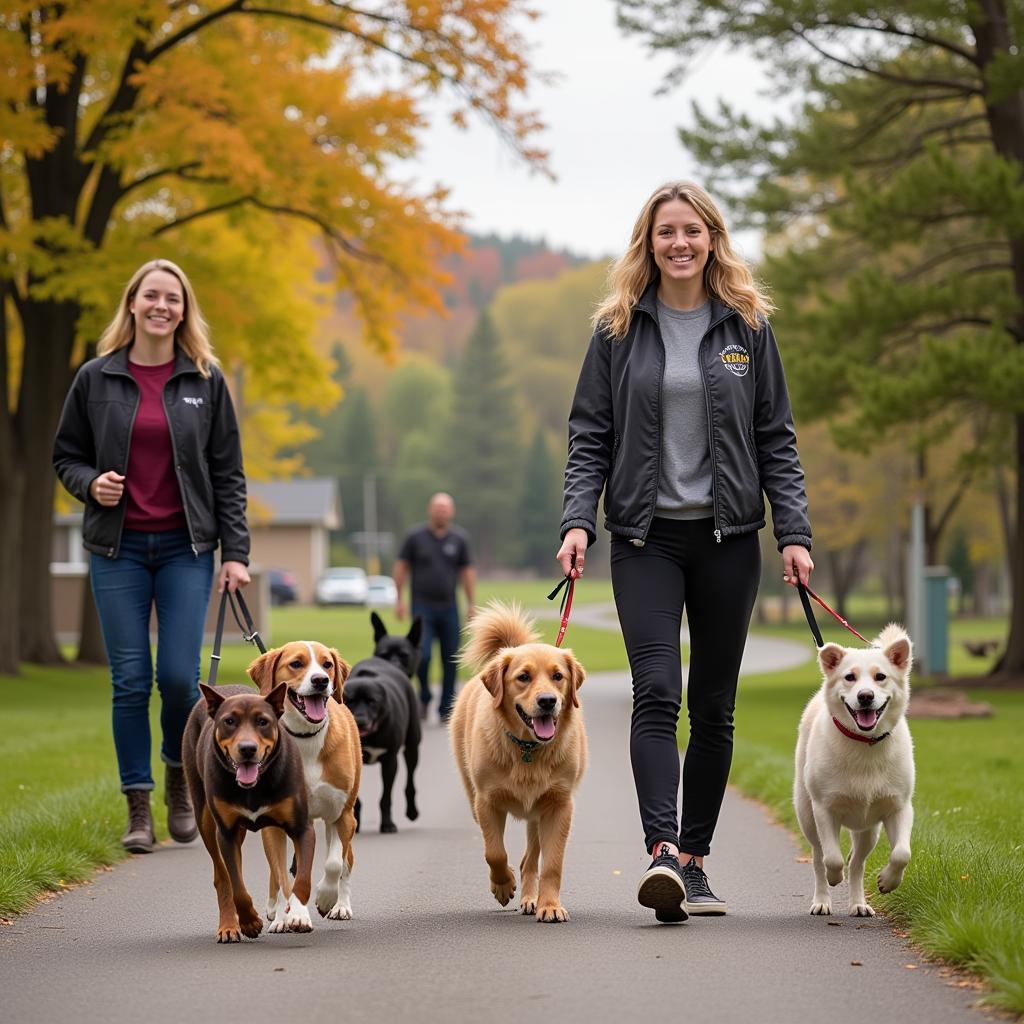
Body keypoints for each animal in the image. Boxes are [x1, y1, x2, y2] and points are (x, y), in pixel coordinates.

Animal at [182, 684, 313, 937]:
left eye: (263, 721)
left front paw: (299, 915)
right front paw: (250, 921)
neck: (254, 786)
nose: (247, 748)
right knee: (222, 875)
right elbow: (237, 886)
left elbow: (302, 878)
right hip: (204, 817)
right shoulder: (226, 833)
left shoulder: (302, 827)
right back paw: (228, 925)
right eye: (229, 721)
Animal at [246, 643, 360, 925]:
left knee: (346, 861)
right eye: (296, 664)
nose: (321, 680)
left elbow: (334, 864)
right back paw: (275, 911)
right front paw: (287, 917)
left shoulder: (341, 813)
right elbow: (281, 874)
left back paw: (341, 905)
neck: (306, 739)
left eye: (327, 664)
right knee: (276, 872)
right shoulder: (274, 823)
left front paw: (327, 898)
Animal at [346, 610, 421, 827]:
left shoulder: (390, 760)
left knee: (410, 780)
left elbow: (386, 797)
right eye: (350, 701)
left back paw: (412, 811)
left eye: (373, 702)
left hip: (412, 746)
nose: (360, 720)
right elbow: (356, 798)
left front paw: (387, 824)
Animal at [452, 598, 589, 921]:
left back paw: (532, 900)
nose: (547, 701)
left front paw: (549, 906)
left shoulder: (559, 806)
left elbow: (552, 864)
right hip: (475, 798)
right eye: (523, 677)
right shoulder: (486, 802)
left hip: (538, 813)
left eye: (558, 676)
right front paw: (503, 886)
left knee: (531, 859)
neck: (528, 749)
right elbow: (494, 853)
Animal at [794, 622, 917, 921]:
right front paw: (833, 877)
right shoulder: (824, 809)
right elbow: (832, 858)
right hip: (807, 815)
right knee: (818, 857)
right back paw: (822, 900)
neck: (865, 744)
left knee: (857, 863)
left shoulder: (899, 807)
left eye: (880, 677)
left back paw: (859, 904)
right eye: (849, 677)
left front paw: (888, 881)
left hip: (869, 831)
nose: (865, 696)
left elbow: (902, 853)